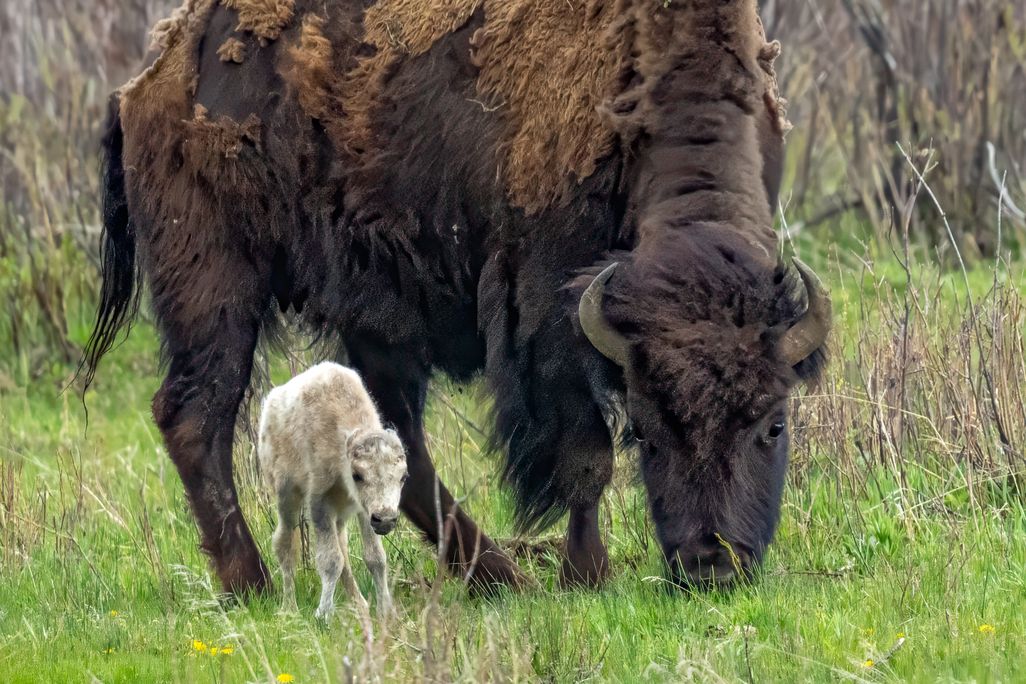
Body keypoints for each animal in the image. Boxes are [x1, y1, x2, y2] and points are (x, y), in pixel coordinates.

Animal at [82, 0, 830, 596]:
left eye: (775, 424)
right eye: (645, 430)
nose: (712, 564)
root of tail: (150, 76)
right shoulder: (551, 313)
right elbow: (586, 456)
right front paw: (587, 575)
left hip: (370, 318)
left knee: (395, 444)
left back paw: (495, 575)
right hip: (217, 288)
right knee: (194, 417)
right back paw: (254, 583)